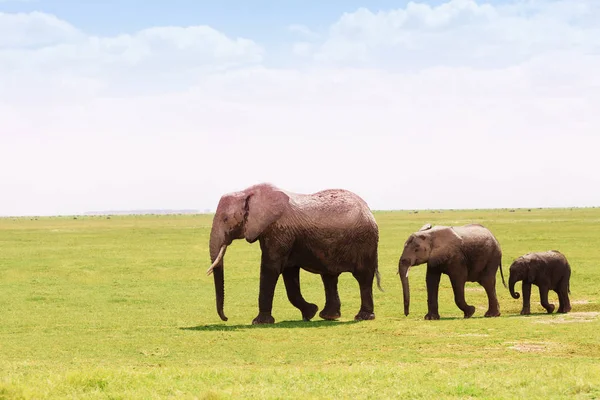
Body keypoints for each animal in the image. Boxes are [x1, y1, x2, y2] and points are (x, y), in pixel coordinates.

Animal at [204, 183, 382, 324]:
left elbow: (271, 268)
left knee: (363, 277)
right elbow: (289, 273)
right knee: (329, 278)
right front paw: (310, 313)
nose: (226, 318)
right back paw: (328, 316)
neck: (247, 192)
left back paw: (363, 317)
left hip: (365, 241)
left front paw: (259, 322)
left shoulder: (280, 230)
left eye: (225, 219)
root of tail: (368, 208)